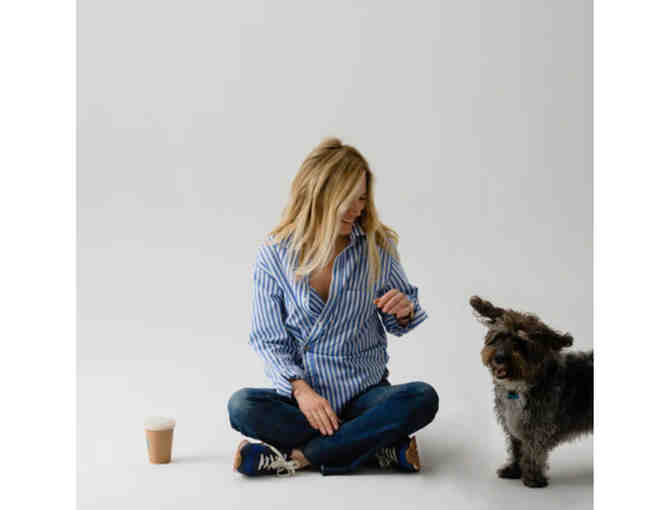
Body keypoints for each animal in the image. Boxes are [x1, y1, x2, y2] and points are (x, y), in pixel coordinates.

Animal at [469, 295, 593, 488]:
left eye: (519, 342)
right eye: (499, 336)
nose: (499, 358)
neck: (519, 386)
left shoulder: (538, 426)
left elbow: (533, 452)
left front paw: (533, 478)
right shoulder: (513, 423)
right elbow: (516, 448)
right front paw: (513, 470)